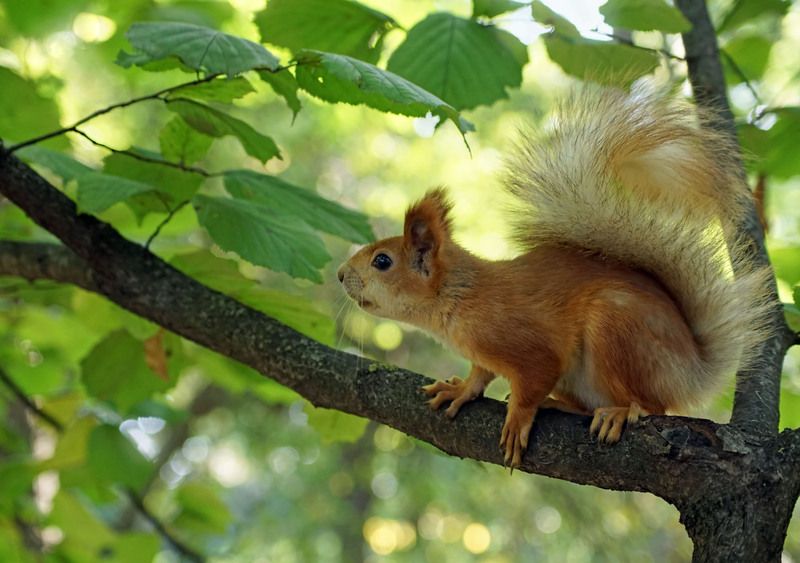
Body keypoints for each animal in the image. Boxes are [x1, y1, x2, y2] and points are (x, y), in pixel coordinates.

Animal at [337, 85, 773, 468]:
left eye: (382, 262)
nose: (340, 275)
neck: (460, 296)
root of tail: (692, 369)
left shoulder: (526, 345)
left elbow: (533, 379)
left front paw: (518, 419)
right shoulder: (483, 353)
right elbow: (481, 374)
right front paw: (460, 390)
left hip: (616, 327)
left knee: (653, 406)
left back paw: (620, 411)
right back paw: (561, 404)